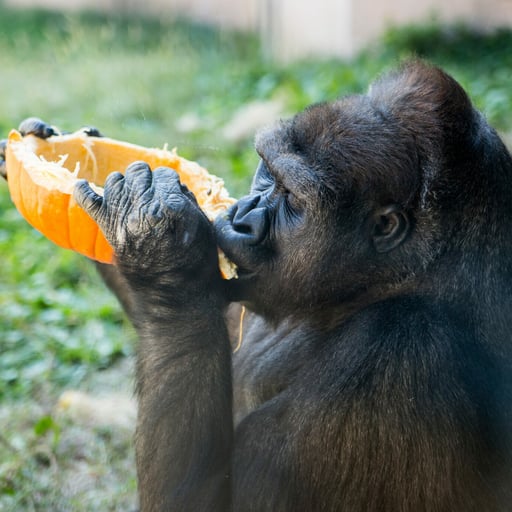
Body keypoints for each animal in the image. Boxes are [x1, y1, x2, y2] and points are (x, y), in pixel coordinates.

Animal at [3, 61, 512, 512]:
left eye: (293, 200)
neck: (387, 284)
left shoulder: (399, 354)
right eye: (267, 172)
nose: (240, 216)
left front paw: (161, 251)